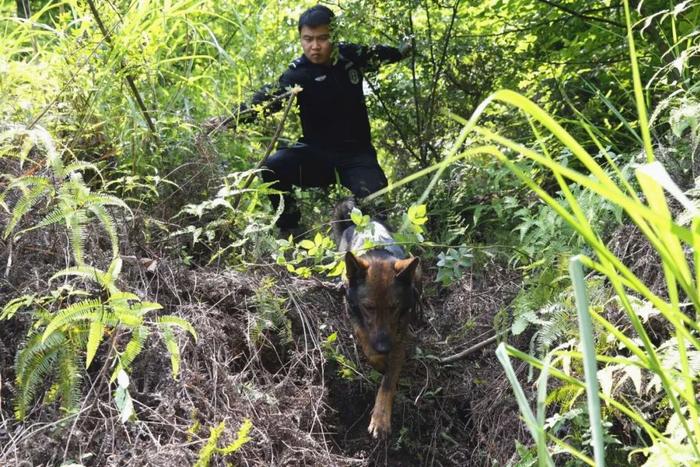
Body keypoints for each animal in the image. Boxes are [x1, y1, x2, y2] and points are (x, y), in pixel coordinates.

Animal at [330, 199, 418, 440]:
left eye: (394, 307)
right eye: (368, 307)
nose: (384, 346)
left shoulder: (400, 340)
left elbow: (388, 383)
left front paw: (380, 419)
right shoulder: (354, 314)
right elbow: (364, 338)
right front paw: (377, 358)